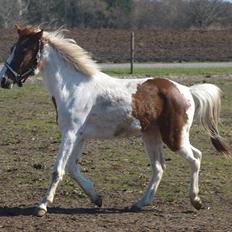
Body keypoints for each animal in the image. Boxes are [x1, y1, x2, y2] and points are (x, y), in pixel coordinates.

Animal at [0, 25, 230, 218]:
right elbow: (72, 168)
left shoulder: (70, 133)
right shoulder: (79, 136)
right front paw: (96, 198)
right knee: (159, 167)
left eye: (23, 50)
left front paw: (42, 206)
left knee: (195, 158)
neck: (73, 87)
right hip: (152, 136)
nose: (4, 80)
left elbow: (58, 169)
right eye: (12, 47)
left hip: (174, 137)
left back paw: (196, 200)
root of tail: (187, 91)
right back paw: (139, 203)